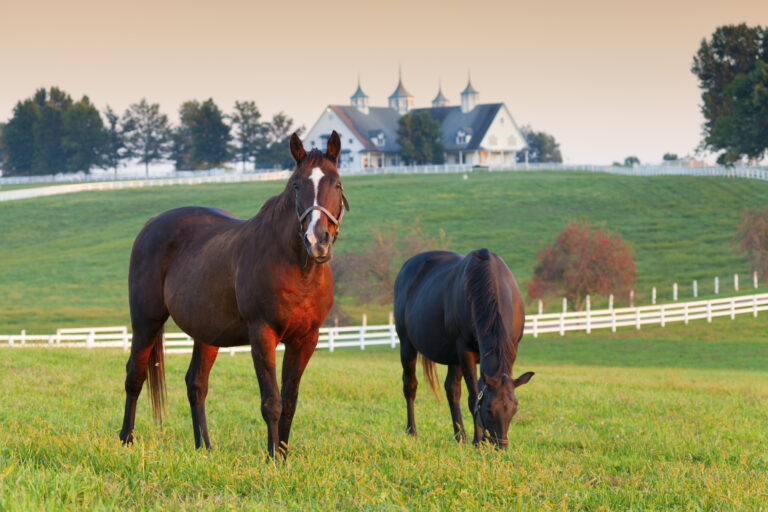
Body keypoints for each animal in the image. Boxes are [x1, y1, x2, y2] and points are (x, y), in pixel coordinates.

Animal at [118, 131, 349, 459]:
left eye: (337, 184)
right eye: (296, 184)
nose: (317, 240)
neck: (297, 269)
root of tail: (151, 224)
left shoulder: (306, 340)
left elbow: (289, 402)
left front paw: (283, 455)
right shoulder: (262, 335)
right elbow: (271, 401)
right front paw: (272, 459)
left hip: (206, 333)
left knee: (196, 385)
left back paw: (204, 447)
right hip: (146, 322)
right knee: (134, 376)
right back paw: (126, 439)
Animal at [393, 248, 534, 448]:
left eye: (514, 409)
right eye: (489, 410)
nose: (500, 446)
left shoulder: (510, 350)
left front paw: (479, 439)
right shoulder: (465, 352)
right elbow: (474, 396)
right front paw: (478, 440)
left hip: (452, 357)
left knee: (452, 390)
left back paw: (460, 436)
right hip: (407, 345)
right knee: (410, 385)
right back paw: (412, 431)